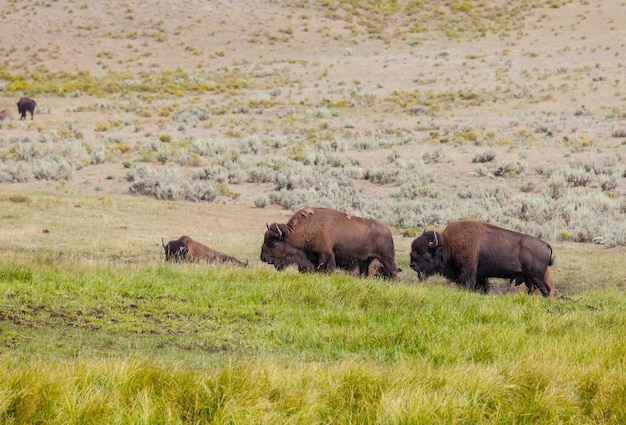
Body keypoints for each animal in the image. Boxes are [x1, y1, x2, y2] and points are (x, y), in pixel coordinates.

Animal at [260, 206, 398, 278]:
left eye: (273, 243)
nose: (263, 258)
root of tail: (388, 230)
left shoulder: (325, 254)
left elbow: (325, 268)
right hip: (366, 260)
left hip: (386, 258)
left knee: (394, 271)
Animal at [410, 220, 556, 296]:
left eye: (424, 251)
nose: (412, 265)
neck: (447, 244)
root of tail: (545, 244)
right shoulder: (480, 276)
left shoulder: (468, 273)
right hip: (528, 278)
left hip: (537, 276)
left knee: (546, 290)